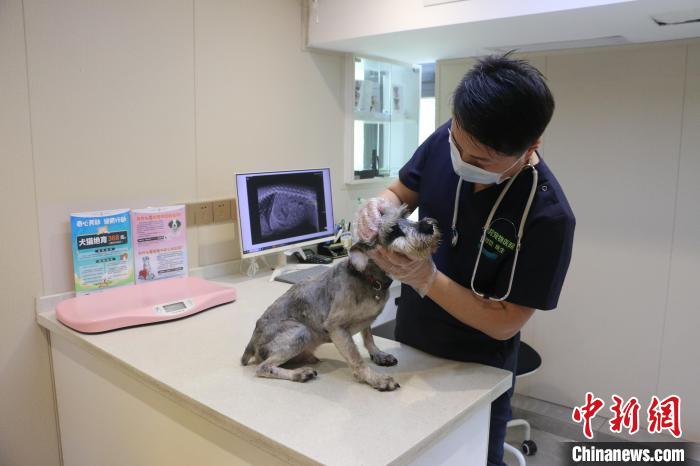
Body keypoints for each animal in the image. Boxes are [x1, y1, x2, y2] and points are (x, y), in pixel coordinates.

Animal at [241, 206, 438, 392]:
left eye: (406, 215)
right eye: (393, 230)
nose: (429, 226)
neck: (368, 278)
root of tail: (252, 340)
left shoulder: (367, 321)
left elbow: (368, 337)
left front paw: (378, 355)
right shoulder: (336, 328)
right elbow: (356, 358)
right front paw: (376, 379)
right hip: (300, 332)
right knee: (263, 367)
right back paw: (299, 373)